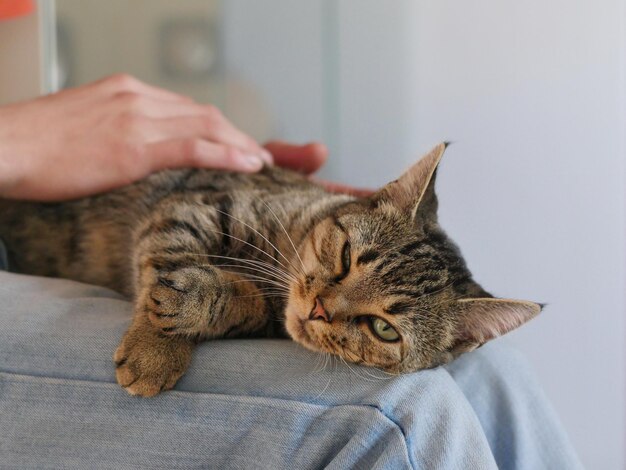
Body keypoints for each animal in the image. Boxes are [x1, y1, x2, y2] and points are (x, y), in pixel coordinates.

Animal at [0, 143, 536, 396]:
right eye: (347, 256)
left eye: (385, 329)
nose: (320, 309)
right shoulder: (188, 205)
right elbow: (168, 261)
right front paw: (156, 348)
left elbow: (242, 304)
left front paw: (191, 316)